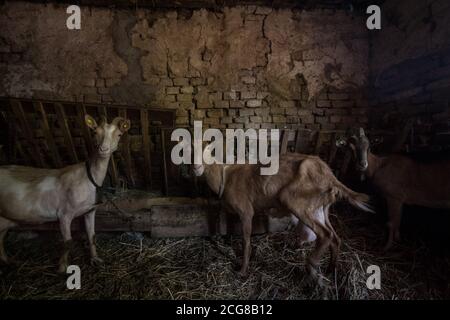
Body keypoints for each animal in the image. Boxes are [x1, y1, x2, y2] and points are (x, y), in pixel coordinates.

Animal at [193, 146, 372, 282]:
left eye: (208, 150)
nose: (196, 168)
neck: (226, 176)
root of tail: (330, 177)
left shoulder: (246, 211)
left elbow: (246, 241)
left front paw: (242, 270)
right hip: (321, 208)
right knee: (334, 237)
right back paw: (330, 269)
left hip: (296, 201)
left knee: (325, 234)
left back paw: (311, 265)